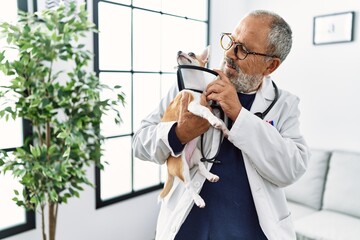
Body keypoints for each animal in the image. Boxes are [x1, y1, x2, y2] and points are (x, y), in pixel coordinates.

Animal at [160, 47, 229, 208]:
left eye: (191, 54)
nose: (179, 51)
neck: (195, 86)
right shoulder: (193, 106)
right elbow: (206, 112)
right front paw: (214, 121)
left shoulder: (207, 99)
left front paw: (224, 128)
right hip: (182, 167)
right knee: (189, 185)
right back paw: (198, 200)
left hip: (197, 155)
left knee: (202, 168)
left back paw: (210, 176)